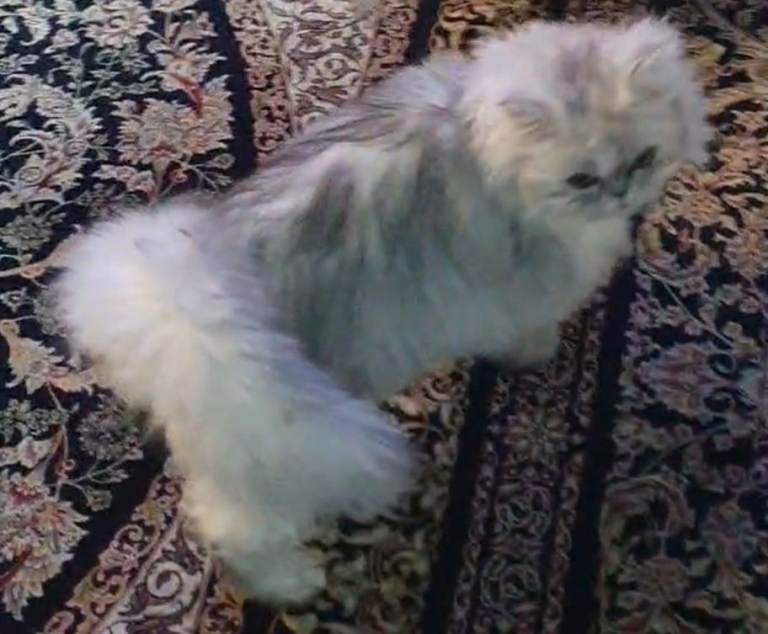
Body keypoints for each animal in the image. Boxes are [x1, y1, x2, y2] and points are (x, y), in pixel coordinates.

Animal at [56, 18, 710, 604]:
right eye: (581, 180)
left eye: (644, 158)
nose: (623, 194)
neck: (478, 135)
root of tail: (189, 295)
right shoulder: (529, 288)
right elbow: (530, 329)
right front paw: (538, 354)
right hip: (278, 453)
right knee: (231, 528)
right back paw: (289, 586)